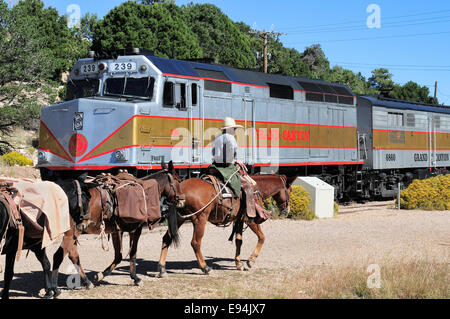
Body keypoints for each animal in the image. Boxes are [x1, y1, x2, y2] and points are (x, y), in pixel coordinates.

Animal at [49, 162, 183, 298]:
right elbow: (132, 253)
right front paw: (135, 278)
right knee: (58, 256)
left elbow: (119, 256)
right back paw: (55, 289)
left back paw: (87, 282)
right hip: (71, 233)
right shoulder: (136, 229)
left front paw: (100, 275)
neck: (145, 192)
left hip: (73, 234)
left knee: (73, 255)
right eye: (178, 180)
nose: (182, 199)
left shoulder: (117, 231)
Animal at [156, 172, 294, 278]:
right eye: (290, 190)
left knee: (166, 238)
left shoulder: (239, 220)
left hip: (179, 219)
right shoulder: (250, 220)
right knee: (195, 243)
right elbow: (262, 237)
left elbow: (239, 241)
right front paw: (250, 261)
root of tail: (179, 190)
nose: (287, 210)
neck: (256, 189)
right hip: (200, 219)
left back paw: (162, 269)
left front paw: (239, 264)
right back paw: (205, 268)